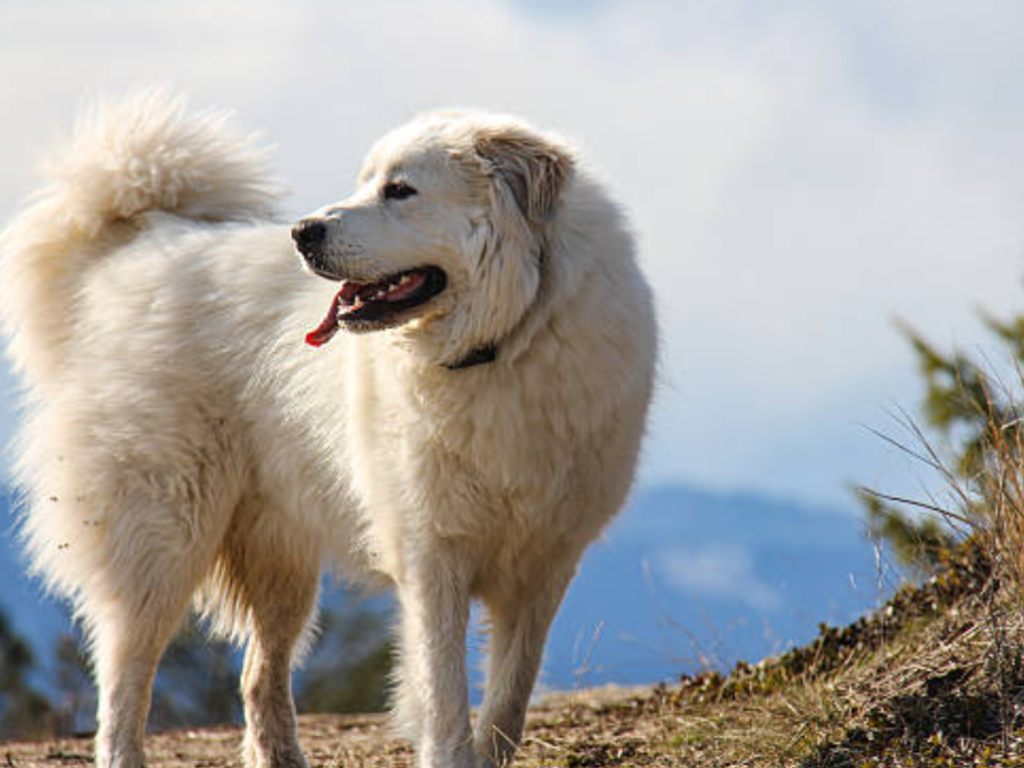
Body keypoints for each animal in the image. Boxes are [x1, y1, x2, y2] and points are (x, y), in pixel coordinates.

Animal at [0, 91, 655, 768]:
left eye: (400, 190)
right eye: (366, 182)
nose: (302, 232)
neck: (502, 343)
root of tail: (139, 245)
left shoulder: (545, 564)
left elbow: (508, 699)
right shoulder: (431, 556)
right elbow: (444, 693)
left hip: (280, 561)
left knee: (258, 674)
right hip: (163, 537)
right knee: (125, 678)